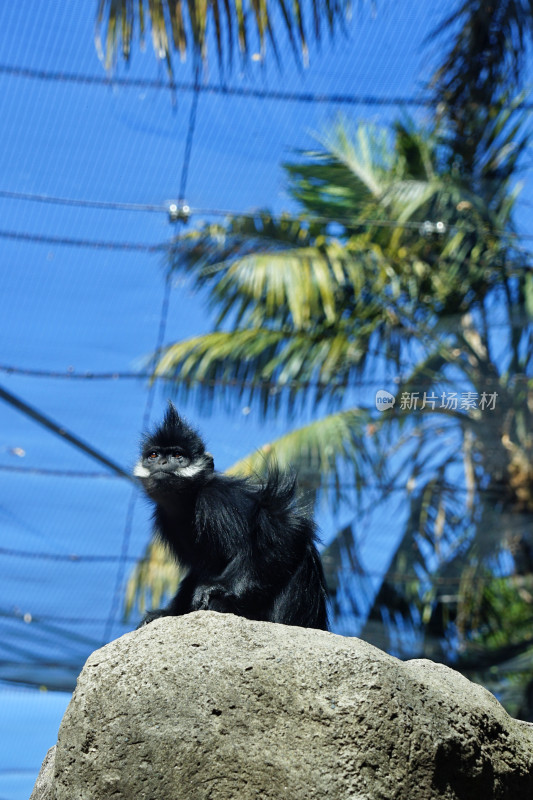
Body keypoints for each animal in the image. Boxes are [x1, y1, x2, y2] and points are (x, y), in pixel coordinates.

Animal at [133, 406, 326, 632]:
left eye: (178, 455)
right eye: (153, 455)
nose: (162, 462)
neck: (189, 500)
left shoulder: (217, 499)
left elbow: (287, 531)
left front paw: (219, 588)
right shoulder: (166, 517)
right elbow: (200, 568)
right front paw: (166, 613)